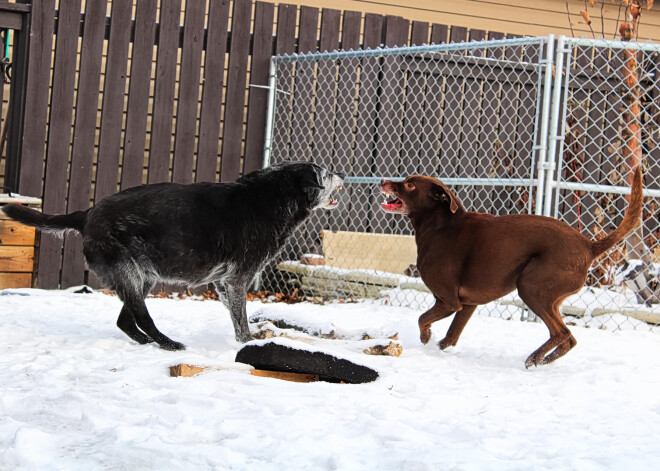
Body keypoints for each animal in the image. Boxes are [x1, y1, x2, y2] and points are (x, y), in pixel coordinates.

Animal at [3, 162, 346, 350]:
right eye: (326, 173)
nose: (342, 173)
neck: (271, 198)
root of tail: (87, 214)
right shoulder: (236, 281)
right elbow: (241, 322)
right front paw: (248, 343)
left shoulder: (224, 284)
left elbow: (235, 315)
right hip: (131, 274)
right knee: (141, 317)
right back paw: (168, 344)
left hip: (142, 278)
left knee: (125, 321)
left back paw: (150, 344)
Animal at [384, 167, 640, 368]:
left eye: (409, 184)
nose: (383, 181)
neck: (439, 225)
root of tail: (589, 245)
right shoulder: (467, 304)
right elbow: (450, 337)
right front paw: (435, 346)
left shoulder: (449, 301)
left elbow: (422, 319)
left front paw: (425, 339)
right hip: (549, 297)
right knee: (569, 338)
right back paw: (545, 360)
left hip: (531, 287)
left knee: (562, 333)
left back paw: (534, 359)